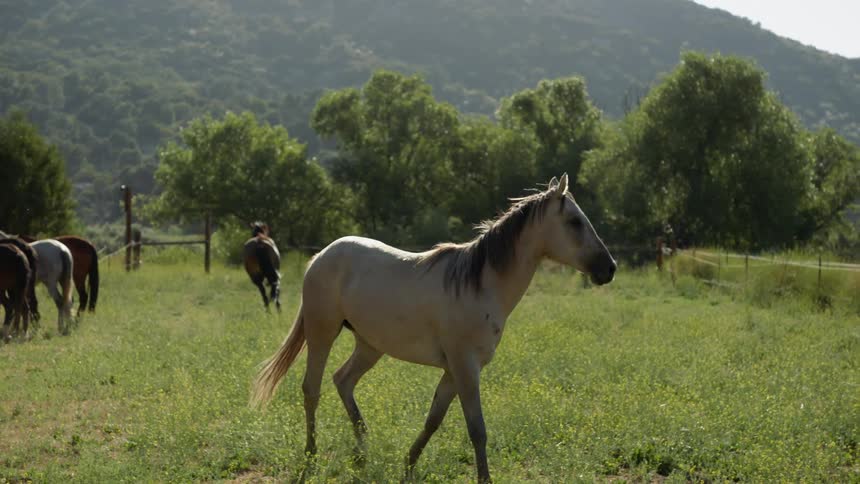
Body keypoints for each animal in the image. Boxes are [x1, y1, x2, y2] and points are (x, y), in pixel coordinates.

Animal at [251, 174, 616, 482]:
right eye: (574, 221)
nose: (609, 268)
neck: (480, 285)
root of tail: (321, 256)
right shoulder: (466, 367)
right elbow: (477, 429)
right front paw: (483, 478)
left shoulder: (454, 370)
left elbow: (433, 419)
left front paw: (408, 466)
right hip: (322, 333)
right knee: (311, 389)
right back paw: (311, 457)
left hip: (370, 345)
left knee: (343, 381)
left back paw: (362, 454)